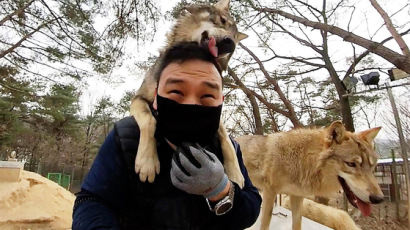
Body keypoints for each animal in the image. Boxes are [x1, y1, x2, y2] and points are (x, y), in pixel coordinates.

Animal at [130, 0, 248, 185]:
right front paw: (147, 163)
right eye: (222, 21)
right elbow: (149, 120)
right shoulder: (138, 98)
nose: (230, 43)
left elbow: (226, 136)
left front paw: (235, 172)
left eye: (235, 37)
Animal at [237, 120, 384, 230]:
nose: (379, 199)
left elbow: (297, 225)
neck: (302, 160)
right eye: (351, 164)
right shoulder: (270, 192)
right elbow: (264, 225)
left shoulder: (296, 196)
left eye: (372, 166)